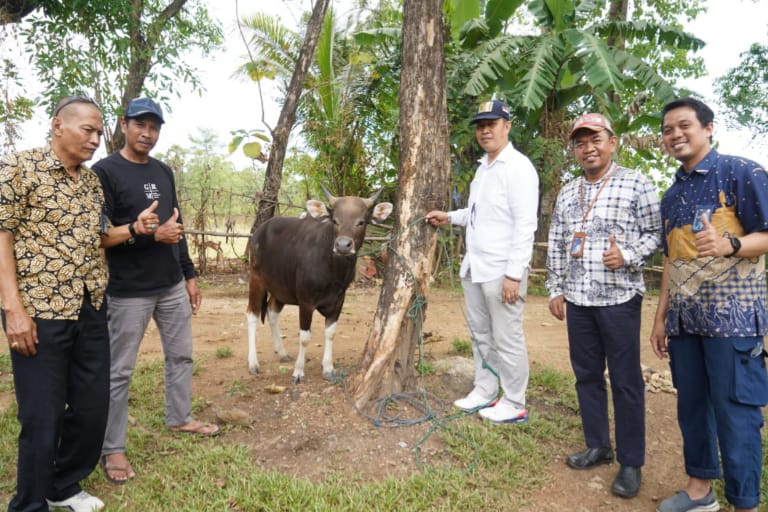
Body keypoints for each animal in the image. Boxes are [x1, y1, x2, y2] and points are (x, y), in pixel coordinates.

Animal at [246, 186, 392, 382]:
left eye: (361, 222)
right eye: (335, 220)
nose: (343, 245)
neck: (333, 271)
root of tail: (259, 231)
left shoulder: (339, 300)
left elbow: (330, 332)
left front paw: (328, 368)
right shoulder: (306, 301)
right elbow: (305, 336)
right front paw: (298, 371)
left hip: (280, 287)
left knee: (272, 312)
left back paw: (282, 352)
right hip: (256, 279)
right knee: (252, 315)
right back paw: (253, 363)